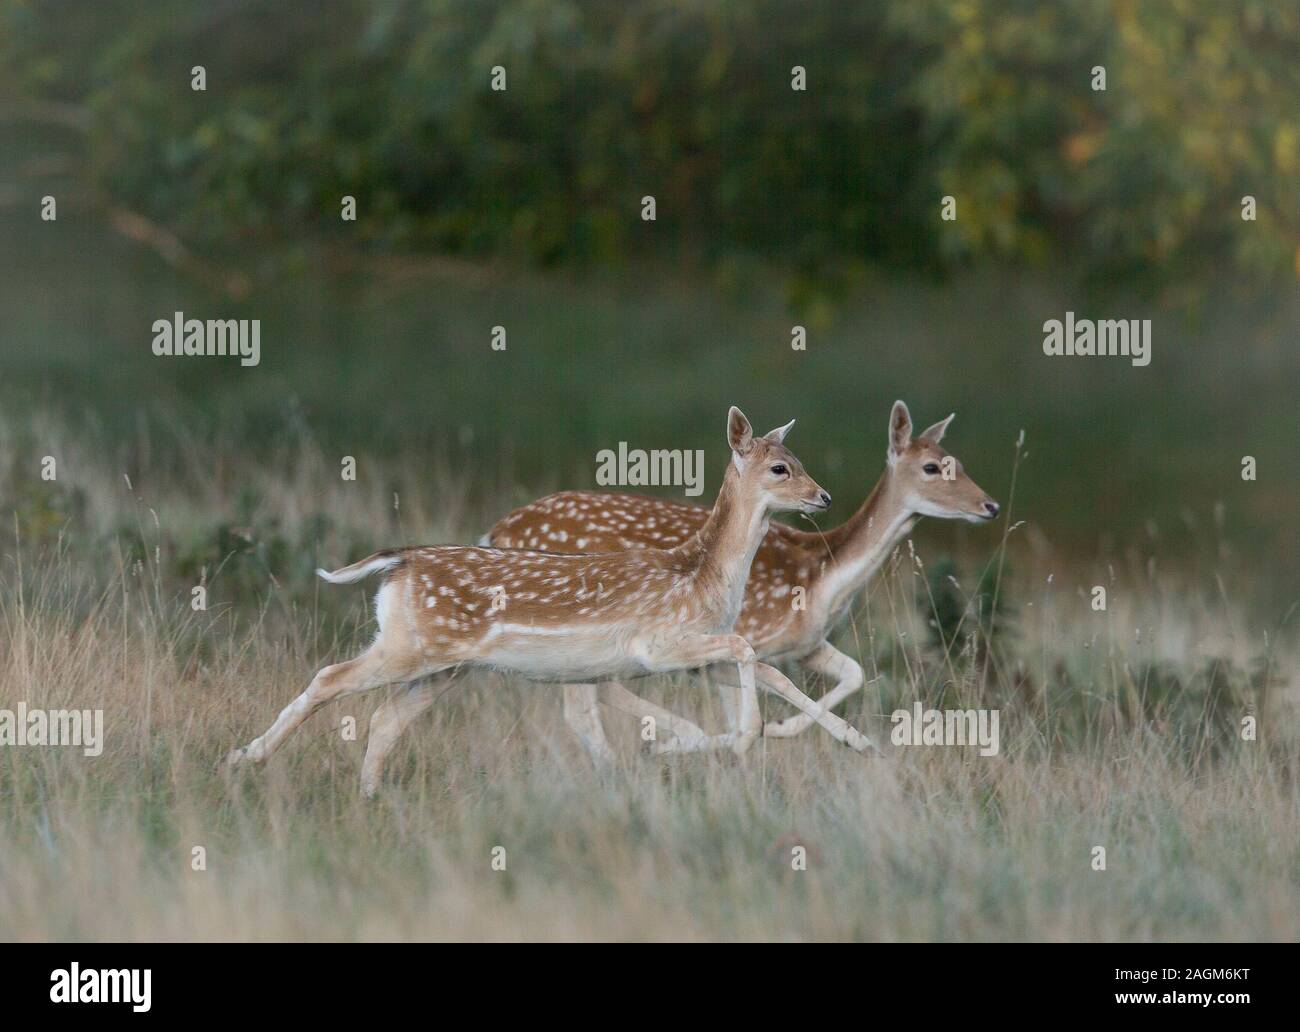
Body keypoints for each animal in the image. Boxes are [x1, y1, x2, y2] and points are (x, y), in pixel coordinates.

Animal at [224, 407, 873, 796]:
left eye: (801, 461)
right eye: (781, 467)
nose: (823, 496)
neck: (703, 576)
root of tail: (399, 563)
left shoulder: (700, 644)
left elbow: (766, 668)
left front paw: (856, 741)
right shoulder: (657, 642)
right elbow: (745, 652)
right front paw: (741, 739)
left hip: (442, 663)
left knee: (385, 719)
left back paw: (370, 797)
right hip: (411, 645)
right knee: (329, 677)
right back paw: (244, 758)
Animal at [475, 401, 999, 763]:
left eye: (960, 462)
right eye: (932, 467)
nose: (991, 505)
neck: (822, 578)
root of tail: (494, 530)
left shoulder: (805, 645)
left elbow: (851, 672)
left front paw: (796, 732)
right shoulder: (750, 636)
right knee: (584, 709)